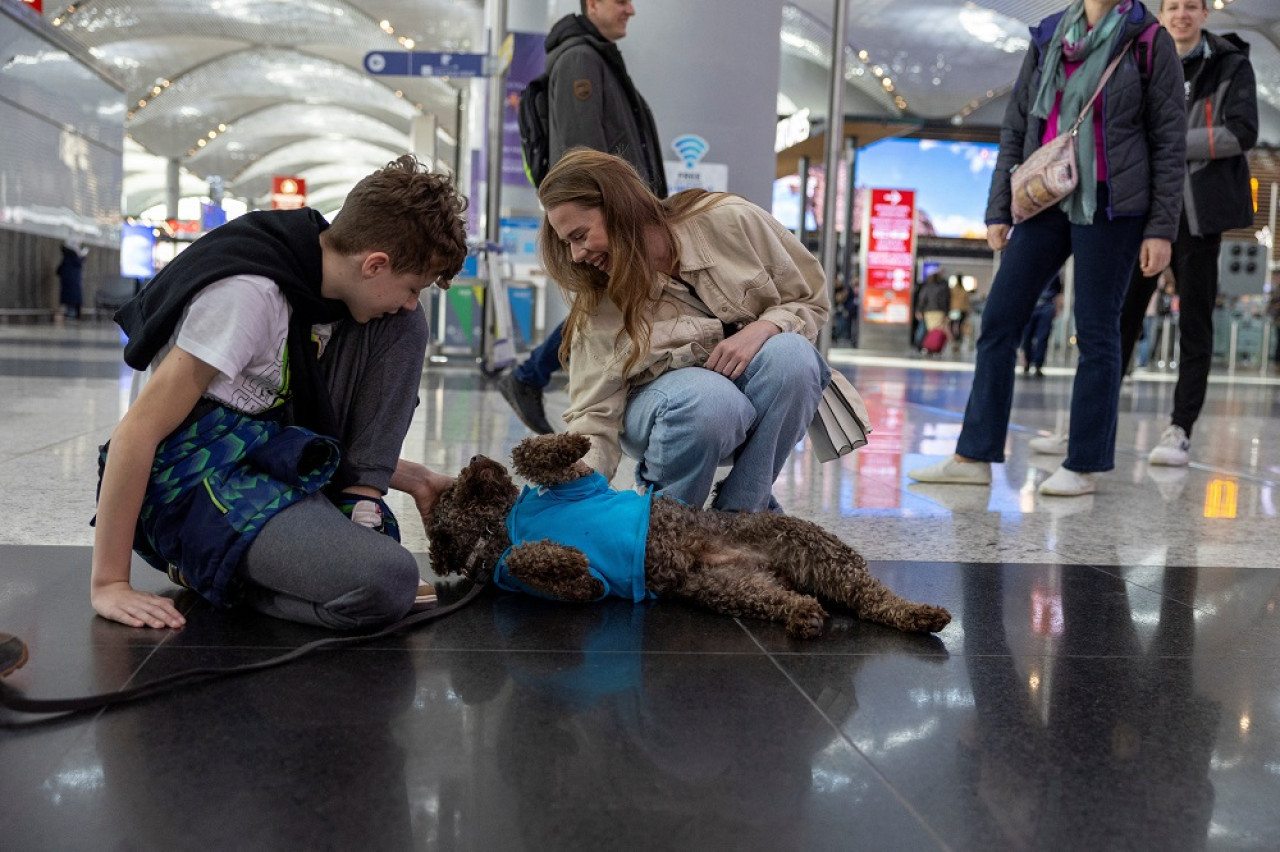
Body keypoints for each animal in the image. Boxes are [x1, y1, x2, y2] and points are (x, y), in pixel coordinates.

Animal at [424, 432, 947, 637]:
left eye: (451, 485)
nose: (476, 459)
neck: (500, 525)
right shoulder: (573, 590)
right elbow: (535, 564)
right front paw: (566, 557)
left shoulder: (579, 483)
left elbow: (534, 453)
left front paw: (572, 440)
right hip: (736, 590)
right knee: (807, 601)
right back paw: (805, 615)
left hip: (811, 546)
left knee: (875, 597)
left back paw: (921, 612)